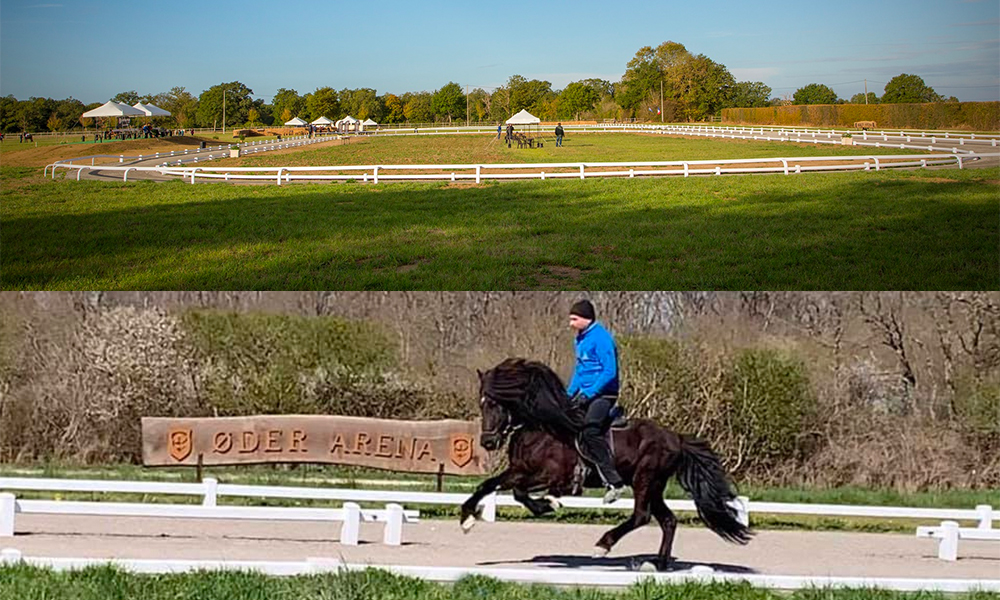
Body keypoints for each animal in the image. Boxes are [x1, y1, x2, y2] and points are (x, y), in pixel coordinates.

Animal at [460, 358, 752, 568]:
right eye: (482, 403)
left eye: (495, 403)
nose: (488, 442)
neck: (540, 428)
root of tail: (675, 438)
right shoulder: (519, 470)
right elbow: (491, 486)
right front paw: (467, 519)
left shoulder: (551, 476)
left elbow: (521, 492)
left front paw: (549, 503)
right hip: (654, 486)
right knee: (668, 520)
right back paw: (659, 564)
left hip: (645, 479)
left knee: (641, 516)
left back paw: (603, 545)